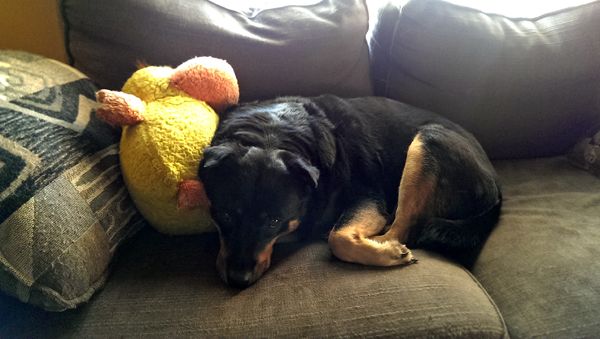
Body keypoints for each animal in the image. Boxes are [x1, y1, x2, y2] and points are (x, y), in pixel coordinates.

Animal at [198, 94, 502, 288]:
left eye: (274, 221)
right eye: (224, 215)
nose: (237, 280)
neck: (271, 134)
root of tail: (497, 192)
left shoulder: (368, 197)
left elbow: (339, 237)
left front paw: (385, 252)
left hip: (427, 141)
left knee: (402, 226)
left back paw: (387, 247)